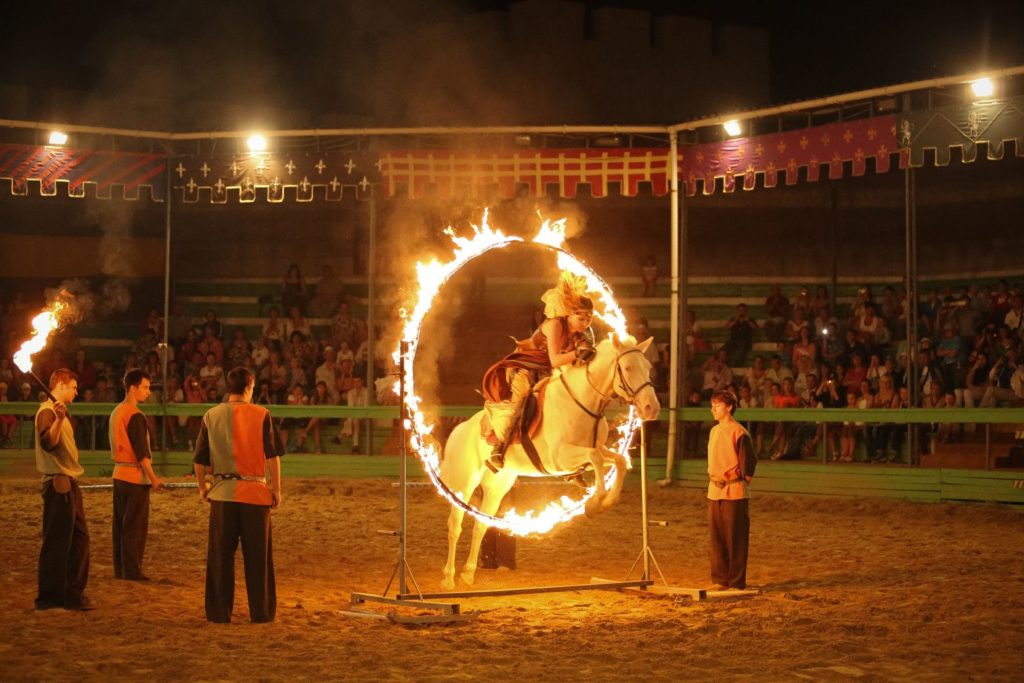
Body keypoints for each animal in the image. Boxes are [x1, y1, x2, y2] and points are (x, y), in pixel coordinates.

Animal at [438, 333, 659, 589]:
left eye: (648, 368)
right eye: (628, 367)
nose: (651, 408)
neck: (583, 402)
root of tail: (461, 428)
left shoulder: (596, 451)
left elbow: (619, 461)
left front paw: (605, 501)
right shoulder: (559, 458)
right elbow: (595, 458)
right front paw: (595, 503)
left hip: (497, 486)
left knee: (480, 525)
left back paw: (468, 573)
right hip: (464, 484)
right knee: (455, 524)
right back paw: (448, 578)